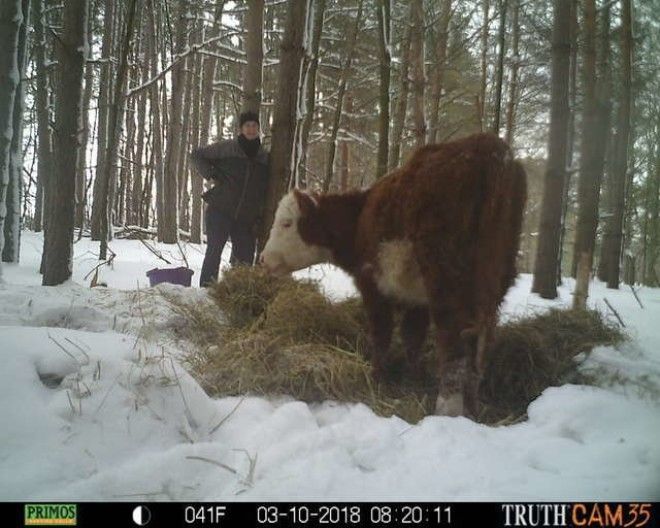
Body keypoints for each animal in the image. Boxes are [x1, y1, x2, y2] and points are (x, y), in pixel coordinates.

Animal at [258, 133, 524, 416]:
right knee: (482, 334)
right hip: (497, 275)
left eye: (287, 223)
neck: (359, 219)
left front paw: (376, 376)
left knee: (454, 335)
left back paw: (447, 407)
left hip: (445, 277)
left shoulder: (371, 282)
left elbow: (382, 332)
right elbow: (412, 336)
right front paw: (414, 377)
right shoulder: (416, 298)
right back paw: (472, 404)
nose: (263, 259)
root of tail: (490, 148)